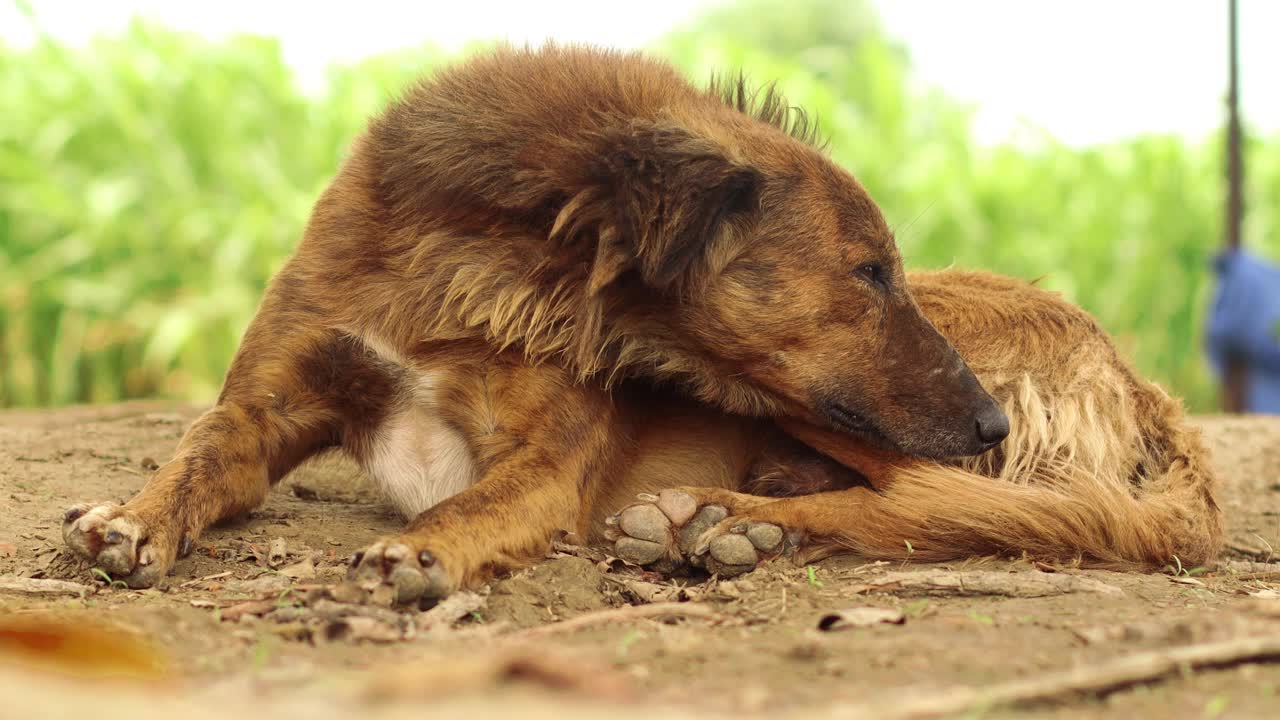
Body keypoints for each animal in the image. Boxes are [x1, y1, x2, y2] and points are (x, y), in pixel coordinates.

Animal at [60, 41, 1003, 597]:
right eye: (869, 272)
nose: (993, 422)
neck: (467, 274)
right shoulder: (266, 405)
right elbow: (197, 455)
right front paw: (134, 518)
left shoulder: (545, 461)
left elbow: (473, 504)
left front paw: (418, 551)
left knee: (921, 504)